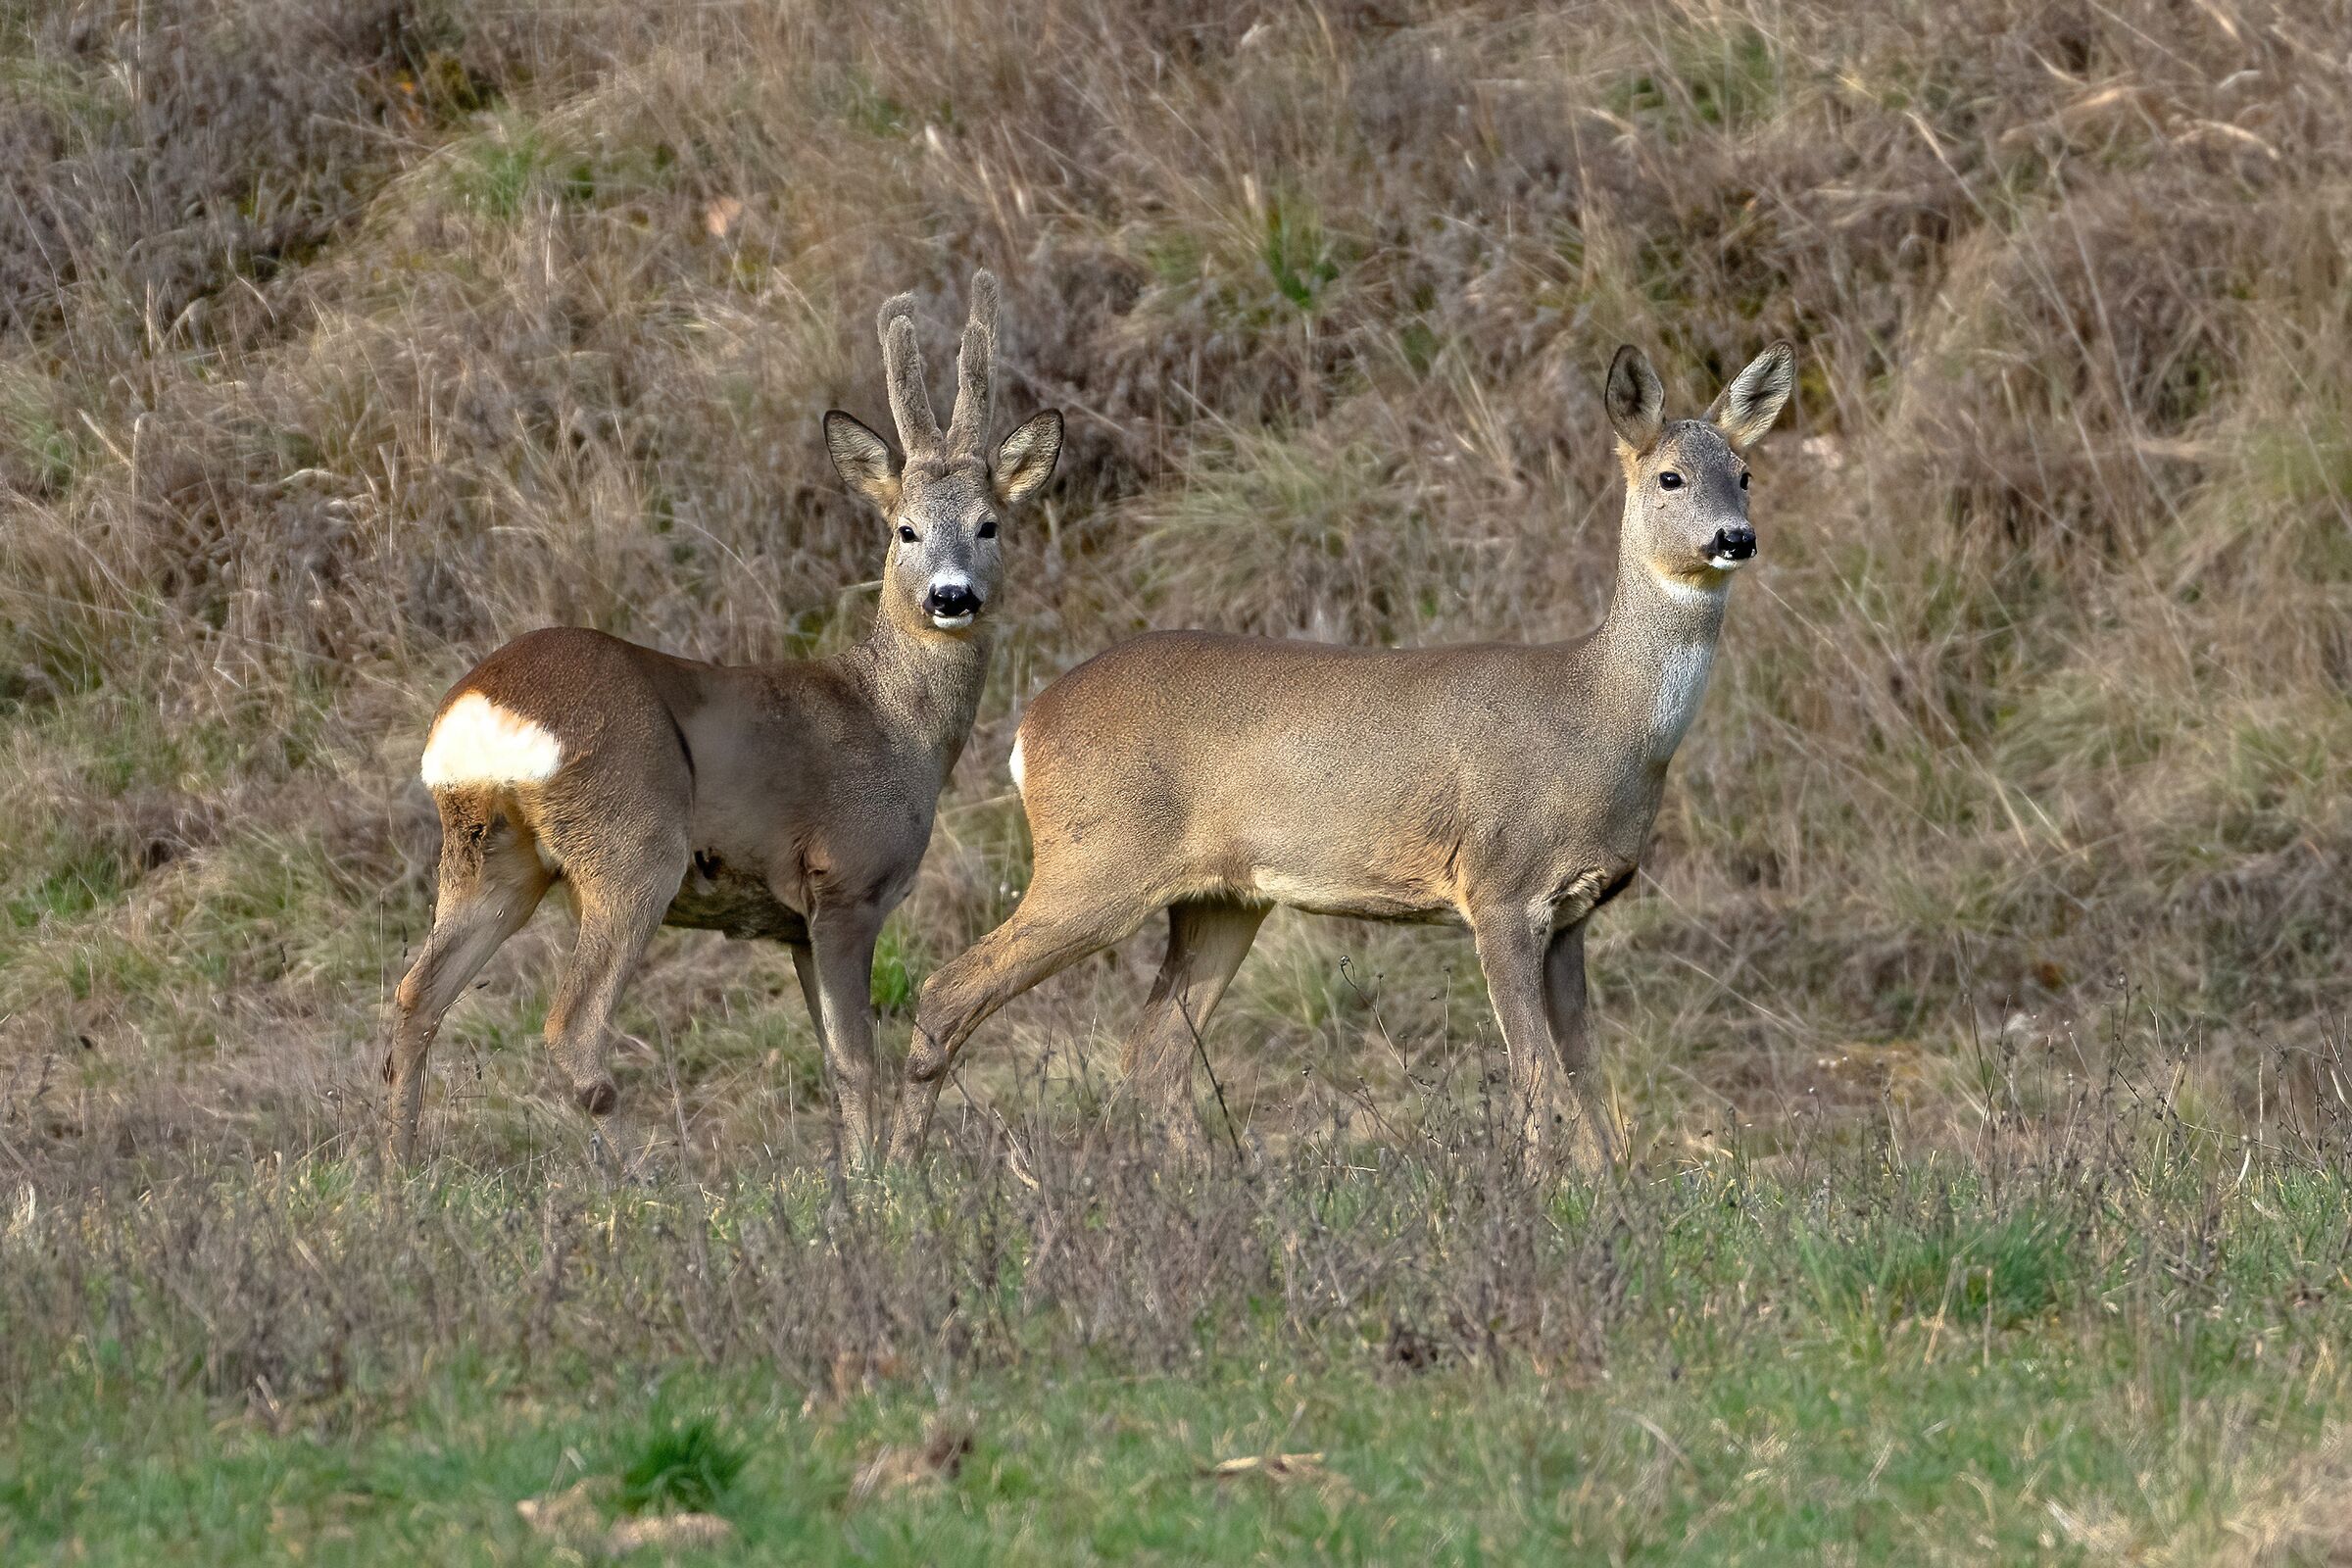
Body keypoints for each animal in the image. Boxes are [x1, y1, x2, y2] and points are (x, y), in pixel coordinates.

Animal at [384, 271, 1062, 1166]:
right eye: (905, 529)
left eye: (989, 525)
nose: (952, 596)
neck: (894, 726)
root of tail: (479, 708)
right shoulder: (844, 882)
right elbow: (857, 1063)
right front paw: (880, 1184)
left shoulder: (792, 924)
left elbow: (833, 1062)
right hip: (631, 846)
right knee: (571, 1031)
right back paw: (655, 1180)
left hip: (488, 857)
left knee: (413, 1000)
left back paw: (395, 1175)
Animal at [885, 340, 1794, 1172]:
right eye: (1670, 477)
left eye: (1746, 473)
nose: (1735, 538)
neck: (1602, 716)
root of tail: (1029, 728)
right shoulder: (1501, 886)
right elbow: (1538, 1080)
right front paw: (1554, 1203)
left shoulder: (1575, 912)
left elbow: (1587, 1077)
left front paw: (1614, 1197)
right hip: (1096, 861)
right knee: (948, 992)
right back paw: (894, 1180)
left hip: (1218, 901)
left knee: (1153, 1056)